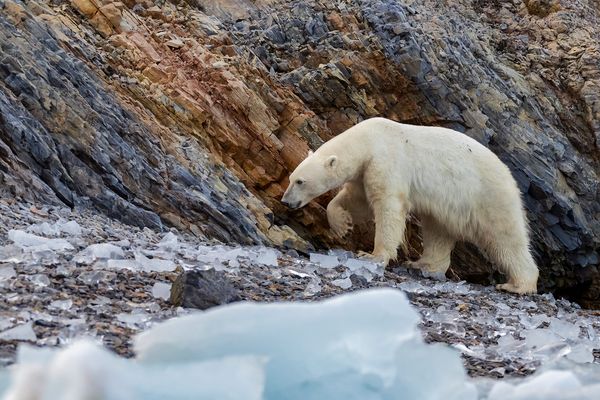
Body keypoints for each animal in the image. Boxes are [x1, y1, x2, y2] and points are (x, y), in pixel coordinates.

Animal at [282, 115, 540, 294]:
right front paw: (342, 225)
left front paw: (372, 255)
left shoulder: (386, 161)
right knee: (438, 230)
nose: (286, 201)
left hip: (487, 195)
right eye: (291, 178)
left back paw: (518, 285)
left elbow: (387, 207)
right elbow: (357, 200)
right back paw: (423, 264)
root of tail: (508, 174)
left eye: (300, 181)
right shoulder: (365, 171)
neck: (370, 139)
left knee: (504, 238)